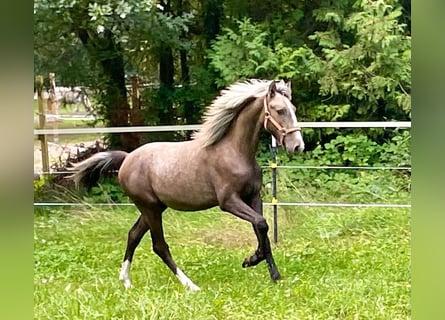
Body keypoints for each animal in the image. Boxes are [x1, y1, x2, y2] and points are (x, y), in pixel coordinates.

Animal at [68, 79, 306, 292]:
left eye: (293, 109)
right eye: (279, 110)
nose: (297, 146)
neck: (234, 151)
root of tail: (127, 159)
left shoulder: (254, 197)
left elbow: (261, 228)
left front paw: (266, 269)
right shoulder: (229, 202)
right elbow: (261, 223)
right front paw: (254, 261)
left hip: (153, 208)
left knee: (133, 235)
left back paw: (126, 281)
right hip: (150, 208)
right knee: (159, 246)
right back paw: (191, 285)